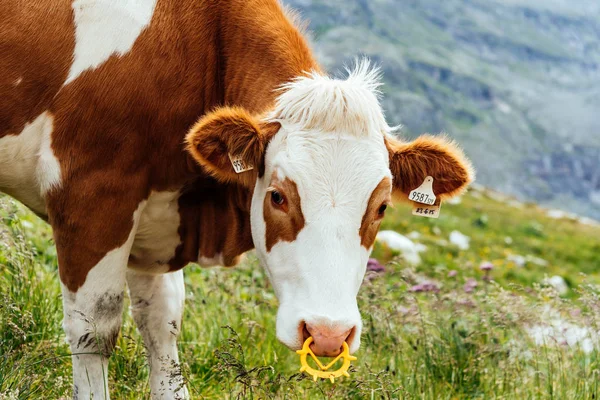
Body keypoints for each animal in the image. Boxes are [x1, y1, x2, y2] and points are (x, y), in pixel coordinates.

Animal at [0, 0, 474, 398]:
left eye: (381, 207)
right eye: (278, 197)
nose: (327, 335)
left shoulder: (154, 216)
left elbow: (162, 324)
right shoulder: (92, 194)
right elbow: (94, 329)